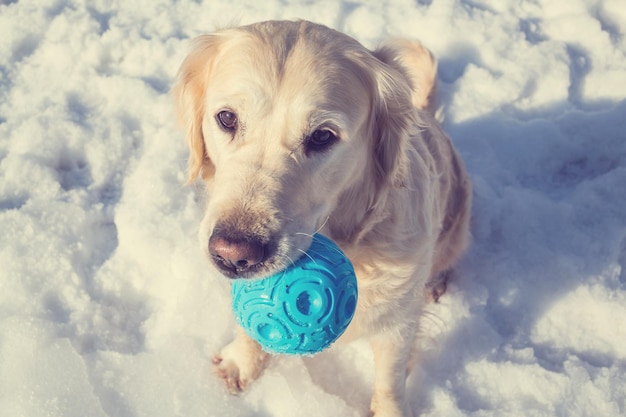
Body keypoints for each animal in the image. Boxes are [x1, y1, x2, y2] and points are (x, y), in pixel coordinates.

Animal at [171, 21, 468, 416]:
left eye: (323, 136)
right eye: (227, 118)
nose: (232, 254)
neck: (350, 242)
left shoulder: (399, 323)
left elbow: (390, 380)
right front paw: (242, 363)